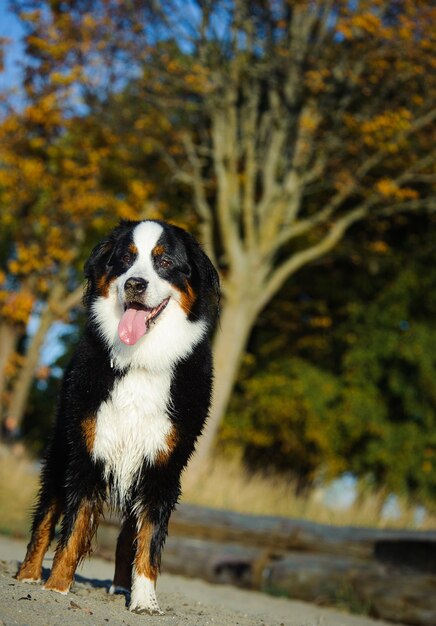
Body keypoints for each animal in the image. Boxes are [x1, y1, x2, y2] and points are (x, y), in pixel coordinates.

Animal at [16, 217, 221, 612]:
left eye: (165, 262)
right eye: (125, 259)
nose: (134, 284)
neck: (141, 360)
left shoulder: (162, 467)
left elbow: (148, 539)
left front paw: (145, 600)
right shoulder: (86, 452)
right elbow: (73, 527)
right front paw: (57, 586)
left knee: (129, 534)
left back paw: (122, 586)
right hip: (60, 451)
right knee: (45, 517)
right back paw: (28, 575)